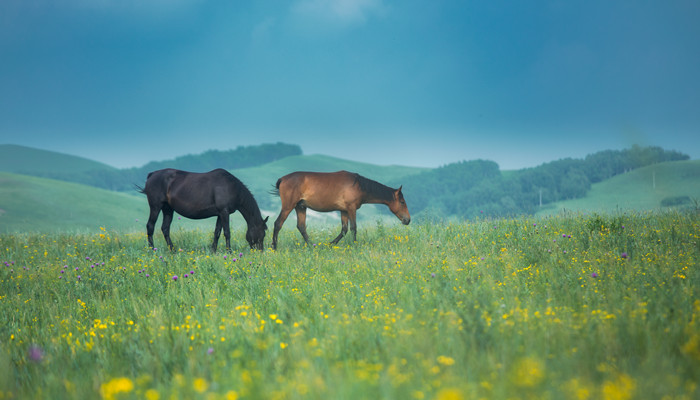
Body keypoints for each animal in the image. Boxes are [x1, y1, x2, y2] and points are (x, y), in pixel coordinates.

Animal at [139, 168, 268, 250]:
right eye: (262, 234)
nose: (260, 252)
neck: (232, 187)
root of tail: (152, 174)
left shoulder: (220, 214)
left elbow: (217, 233)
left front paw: (213, 251)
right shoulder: (224, 212)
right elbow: (227, 233)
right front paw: (229, 252)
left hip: (168, 209)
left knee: (165, 228)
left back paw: (173, 250)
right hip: (155, 207)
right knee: (150, 226)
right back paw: (152, 250)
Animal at [270, 170, 410, 250]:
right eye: (402, 202)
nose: (407, 220)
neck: (359, 185)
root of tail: (283, 179)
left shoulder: (344, 211)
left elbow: (344, 229)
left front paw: (330, 244)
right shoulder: (351, 208)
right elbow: (353, 228)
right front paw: (354, 245)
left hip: (300, 207)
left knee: (301, 227)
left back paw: (312, 246)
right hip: (288, 206)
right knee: (278, 224)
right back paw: (274, 247)